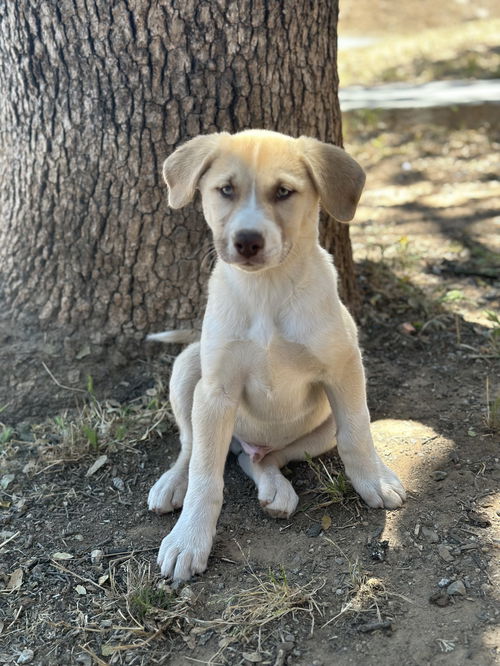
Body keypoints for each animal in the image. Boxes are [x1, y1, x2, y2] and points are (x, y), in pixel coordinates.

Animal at [148, 128, 406, 576]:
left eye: (284, 191)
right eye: (226, 190)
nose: (247, 241)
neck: (266, 289)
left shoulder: (344, 371)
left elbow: (358, 433)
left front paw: (373, 481)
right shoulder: (215, 392)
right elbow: (204, 474)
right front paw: (188, 540)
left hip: (319, 431)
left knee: (259, 460)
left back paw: (276, 490)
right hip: (187, 369)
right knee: (191, 447)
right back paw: (172, 483)